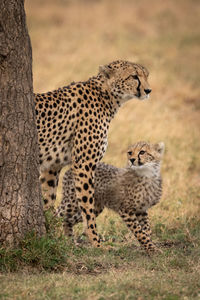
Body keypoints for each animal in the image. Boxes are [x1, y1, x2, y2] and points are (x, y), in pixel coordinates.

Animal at [34, 59, 151, 247]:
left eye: (146, 75)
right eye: (134, 76)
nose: (148, 90)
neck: (107, 96)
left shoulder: (52, 166)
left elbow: (48, 201)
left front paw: (50, 238)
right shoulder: (83, 165)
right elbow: (87, 207)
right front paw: (96, 243)